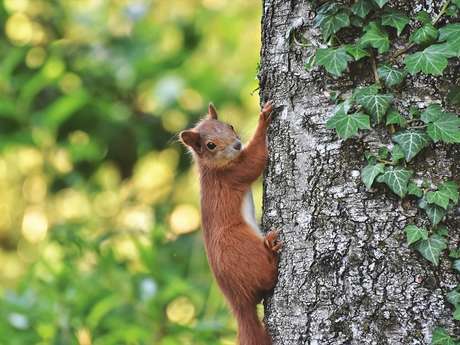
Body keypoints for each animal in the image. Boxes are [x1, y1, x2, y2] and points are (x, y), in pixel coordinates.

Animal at [179, 101, 280, 342]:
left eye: (230, 125)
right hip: (240, 244)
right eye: (210, 145)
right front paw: (263, 119)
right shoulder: (234, 174)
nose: (237, 145)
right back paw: (272, 249)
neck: (213, 168)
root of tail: (238, 301)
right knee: (268, 279)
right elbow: (255, 160)